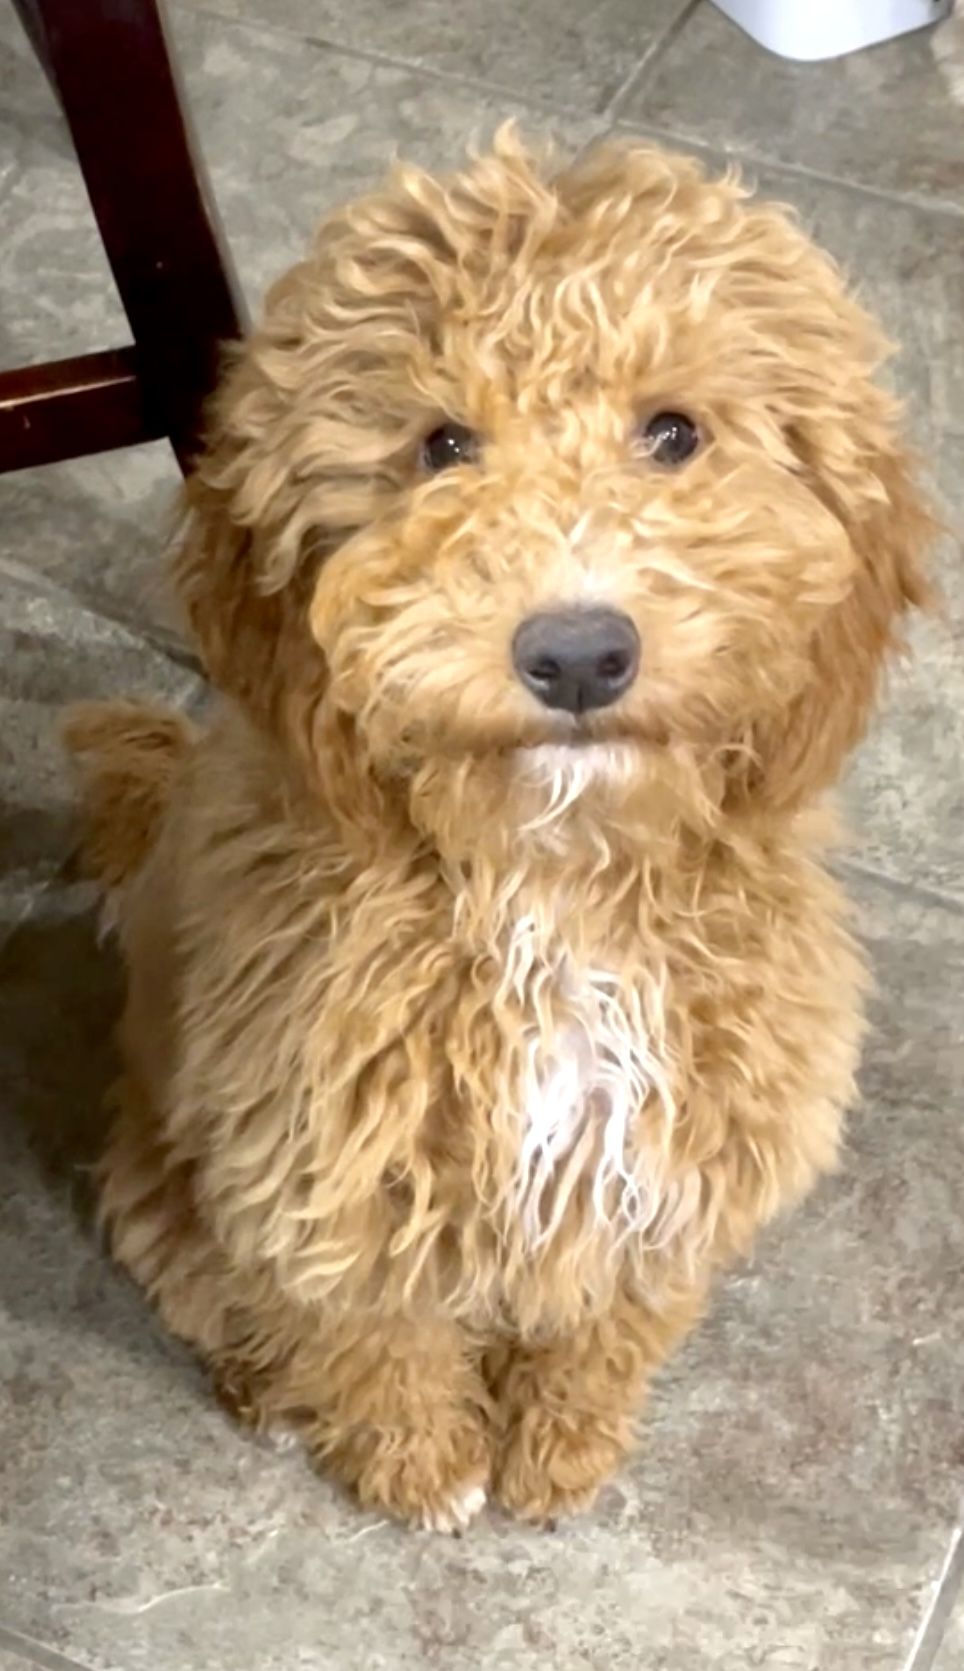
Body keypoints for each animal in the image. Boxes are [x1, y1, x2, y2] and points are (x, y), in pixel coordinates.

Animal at [65, 131, 933, 1530]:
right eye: (441, 445)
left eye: (674, 432)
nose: (578, 652)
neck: (553, 876)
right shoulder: (328, 1171)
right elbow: (375, 1335)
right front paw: (418, 1460)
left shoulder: (675, 1163)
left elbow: (609, 1323)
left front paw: (562, 1442)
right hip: (168, 1184)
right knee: (215, 1295)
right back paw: (266, 1389)